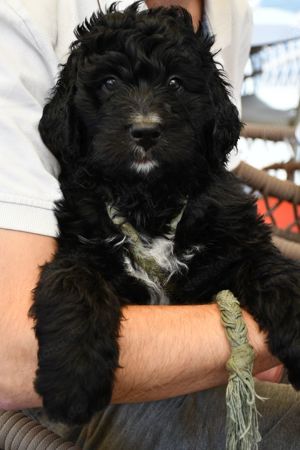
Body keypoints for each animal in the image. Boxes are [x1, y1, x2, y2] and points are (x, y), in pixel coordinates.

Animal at [31, 2, 300, 426]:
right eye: (109, 83)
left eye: (175, 82)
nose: (145, 131)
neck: (149, 202)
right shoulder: (82, 243)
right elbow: (71, 280)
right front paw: (71, 380)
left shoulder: (237, 242)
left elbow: (275, 273)